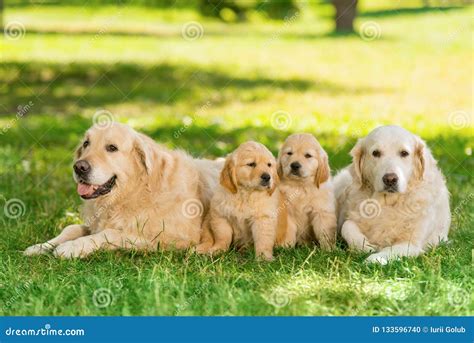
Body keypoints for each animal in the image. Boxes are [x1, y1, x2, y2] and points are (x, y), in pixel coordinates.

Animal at [23, 122, 220, 260]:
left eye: (112, 148)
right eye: (86, 143)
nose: (79, 167)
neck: (135, 192)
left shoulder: (171, 237)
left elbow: (110, 233)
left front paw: (72, 247)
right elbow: (71, 228)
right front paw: (40, 246)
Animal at [334, 126, 452, 266]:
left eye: (404, 153)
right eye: (376, 153)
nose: (390, 179)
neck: (387, 203)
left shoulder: (411, 244)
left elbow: (389, 250)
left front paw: (375, 258)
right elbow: (346, 226)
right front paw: (365, 246)